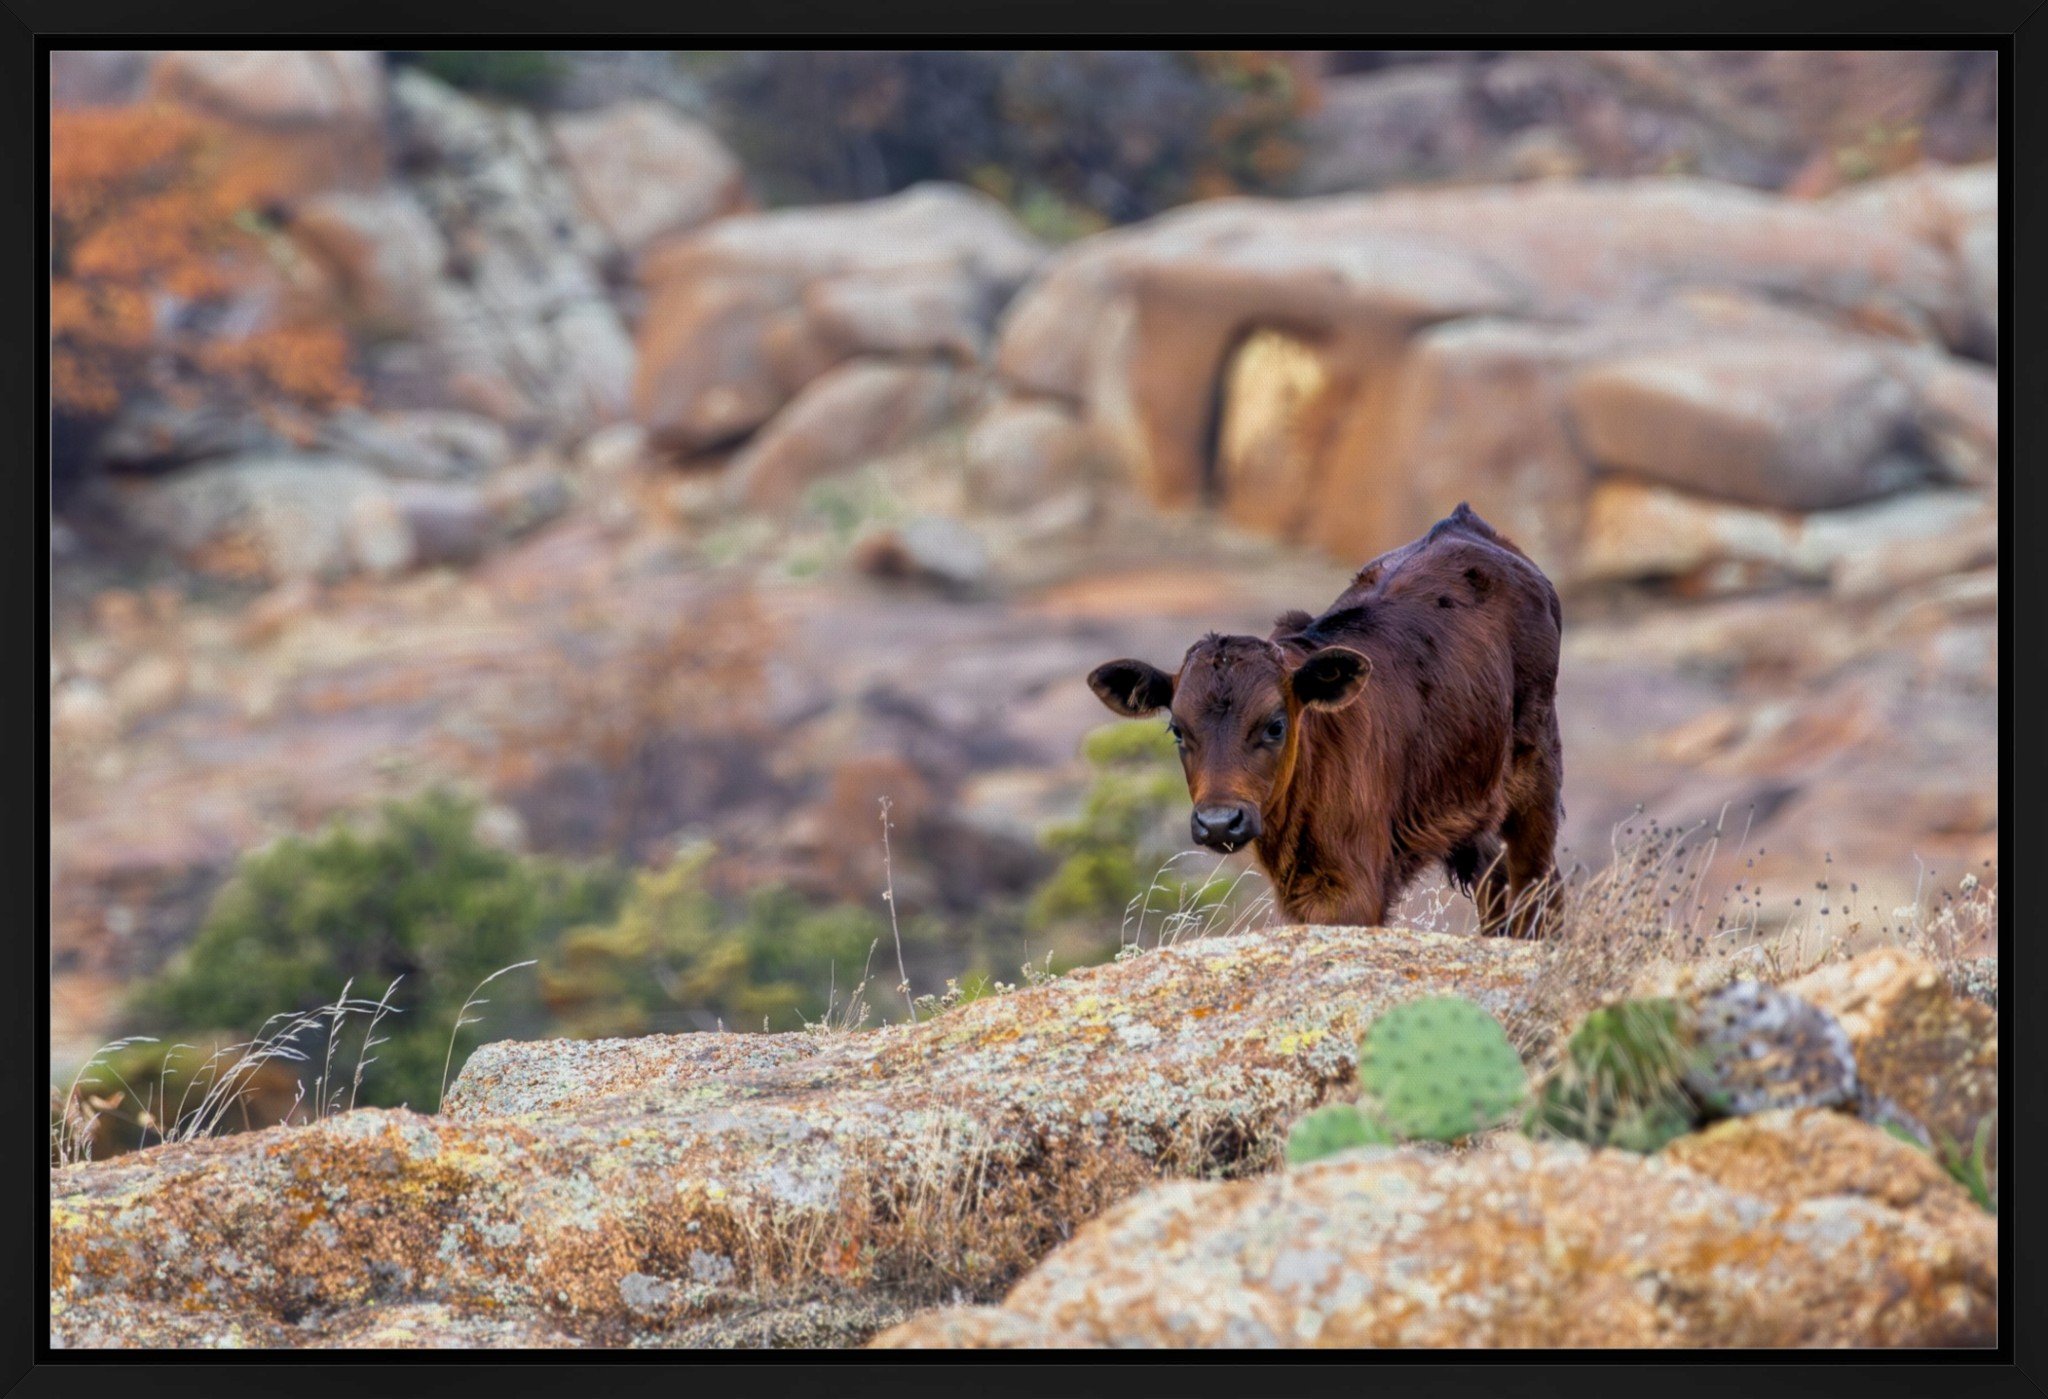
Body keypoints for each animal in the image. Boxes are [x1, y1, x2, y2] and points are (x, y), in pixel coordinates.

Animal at [1087, 503, 1564, 937]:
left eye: (1275, 725)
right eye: (1178, 731)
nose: (1219, 821)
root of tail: (1462, 523)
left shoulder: (1354, 891)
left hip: (1535, 780)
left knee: (1537, 887)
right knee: (1497, 884)